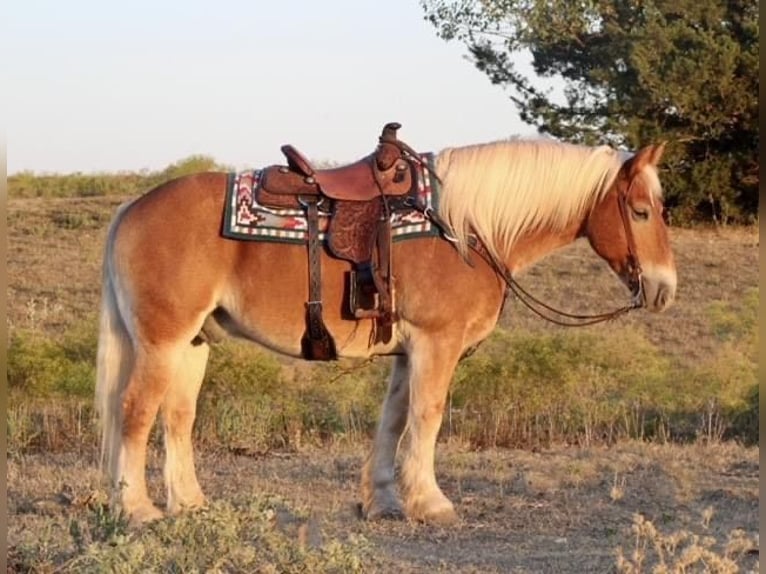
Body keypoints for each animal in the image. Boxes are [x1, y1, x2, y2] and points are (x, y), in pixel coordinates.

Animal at [96, 135, 680, 528]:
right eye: (640, 211)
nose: (664, 289)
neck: (466, 229)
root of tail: (132, 207)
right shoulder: (437, 343)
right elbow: (427, 415)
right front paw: (431, 502)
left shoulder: (409, 349)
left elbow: (394, 419)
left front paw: (383, 500)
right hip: (161, 342)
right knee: (135, 411)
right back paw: (136, 508)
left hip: (192, 344)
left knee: (177, 416)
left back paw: (188, 502)